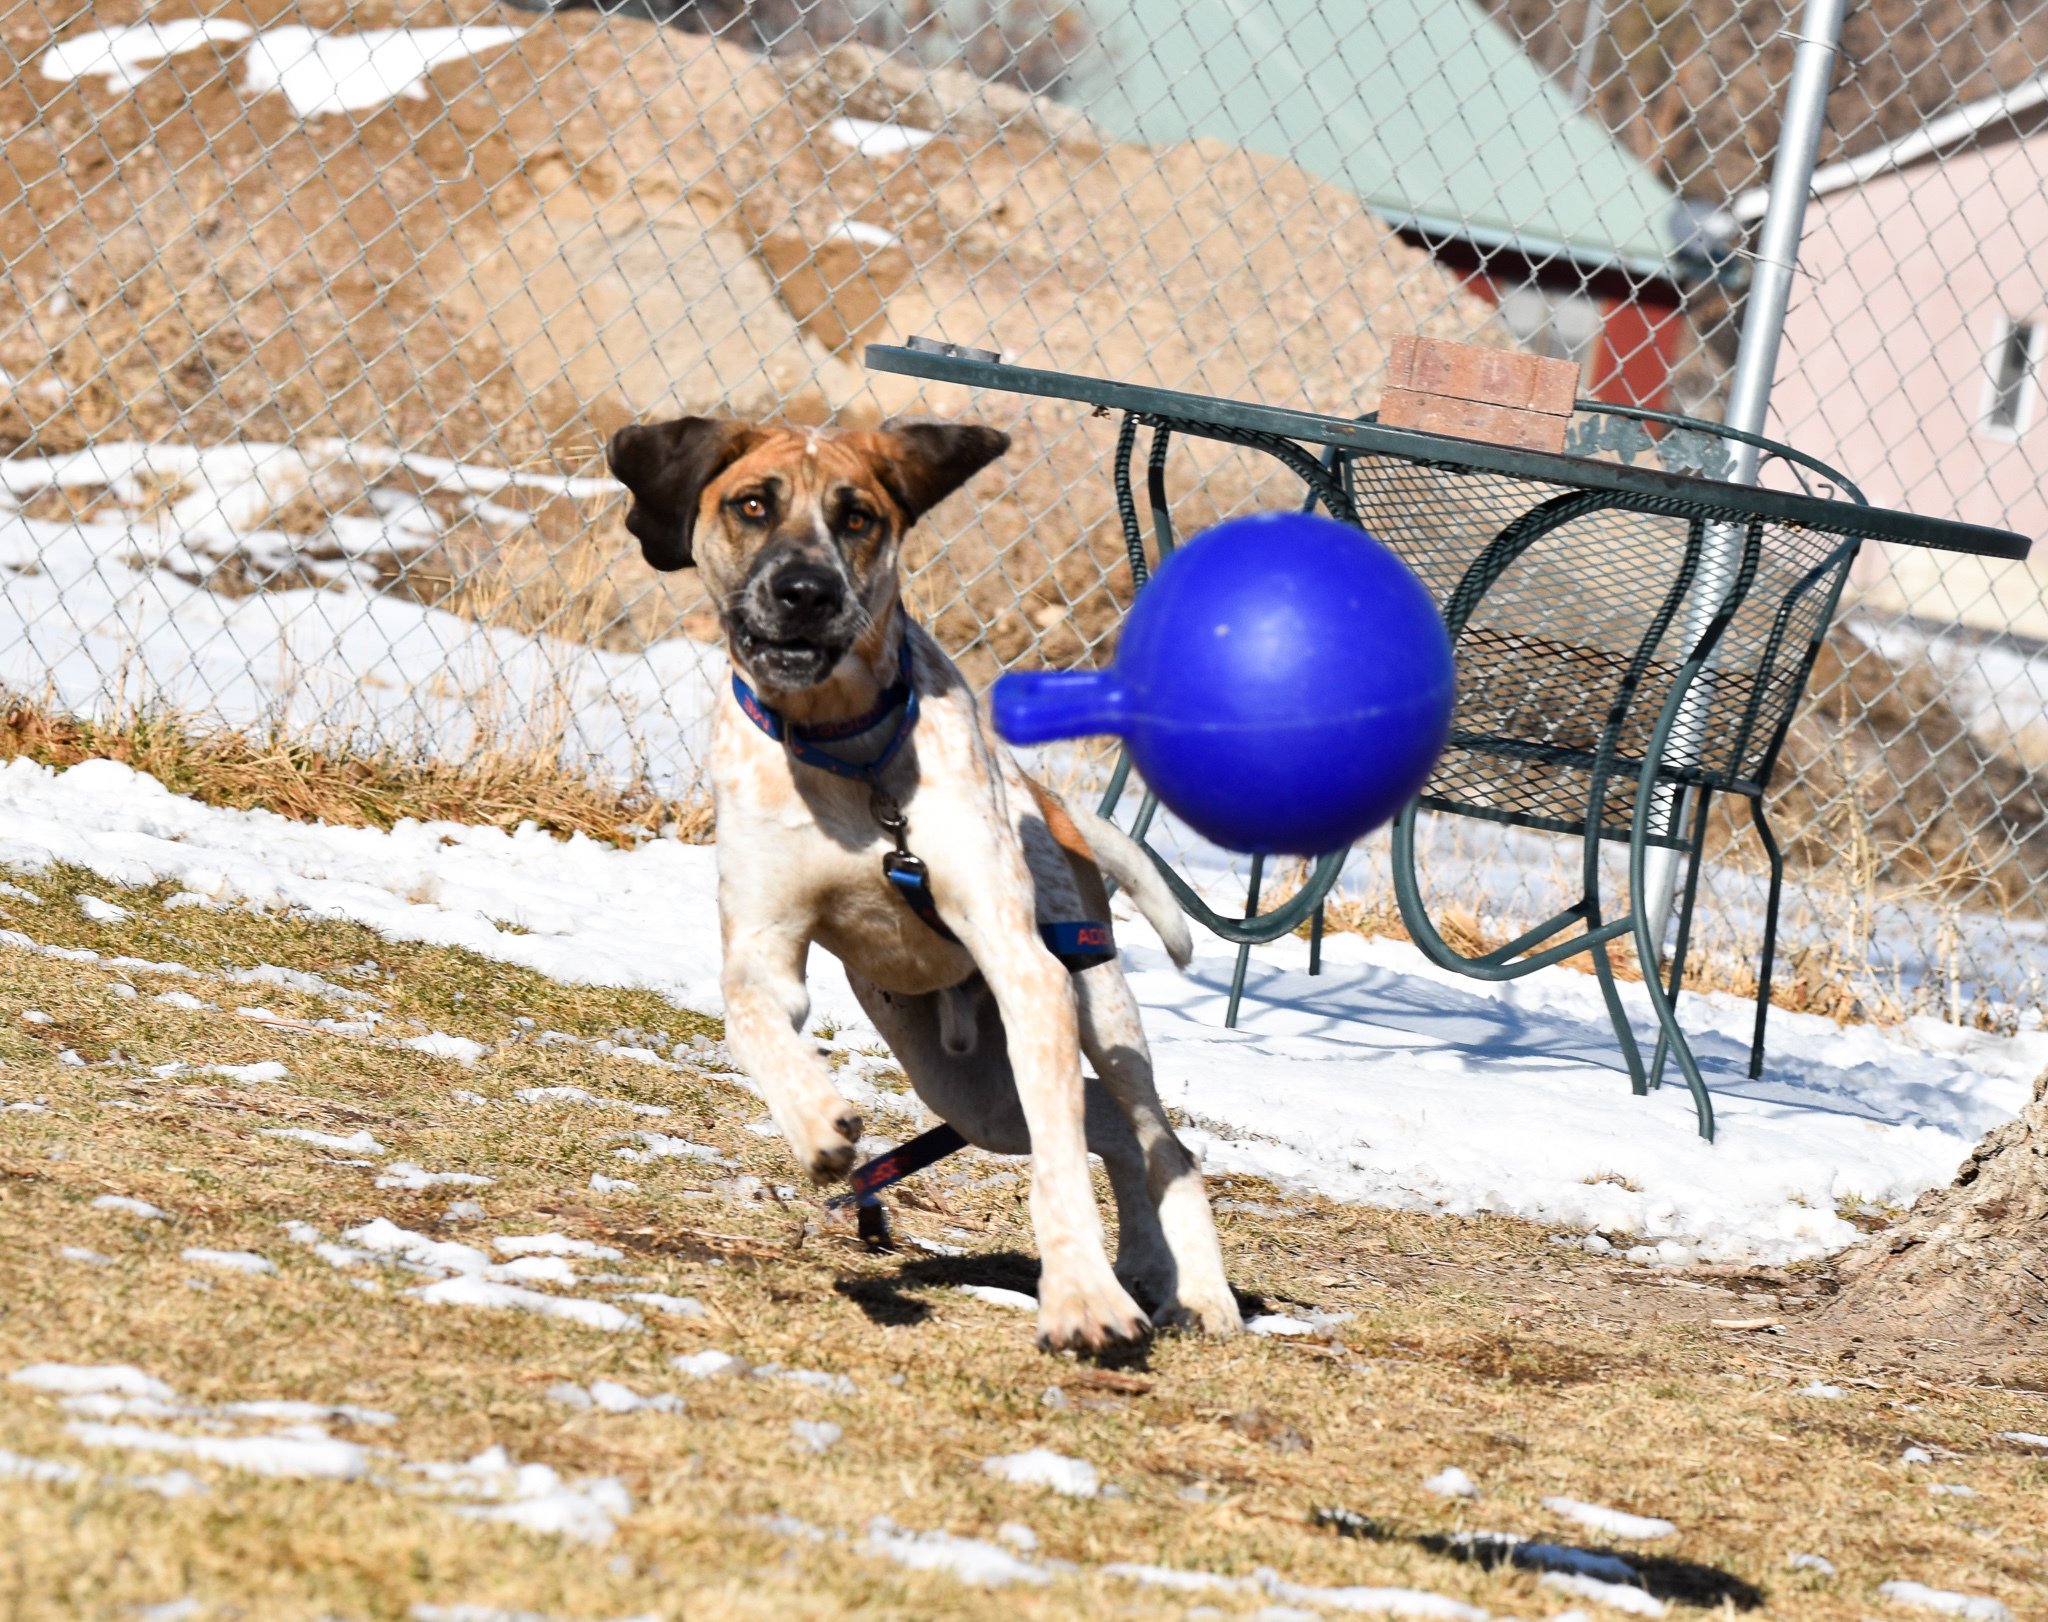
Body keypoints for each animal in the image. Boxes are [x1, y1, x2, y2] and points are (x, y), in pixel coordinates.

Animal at [606, 411, 1236, 1351]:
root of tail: (1048, 799)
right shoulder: (761, 948)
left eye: (857, 516)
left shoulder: (1026, 969)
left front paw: (1080, 1297)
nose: (804, 592)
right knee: (1107, 1131)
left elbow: (1060, 1168)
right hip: (969, 1091)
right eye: (752, 505)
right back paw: (1144, 1265)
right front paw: (817, 1121)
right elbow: (751, 1020)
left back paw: (1198, 1292)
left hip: (1092, 1007)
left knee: (1155, 1141)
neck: (845, 750)